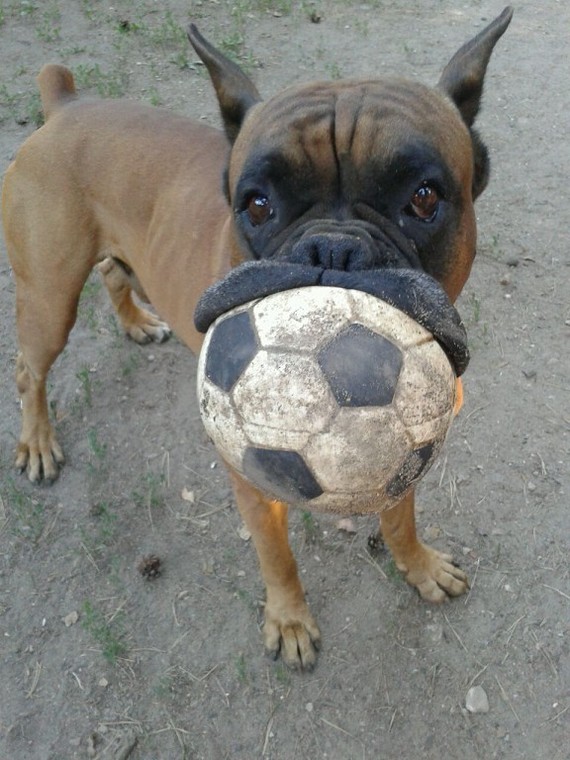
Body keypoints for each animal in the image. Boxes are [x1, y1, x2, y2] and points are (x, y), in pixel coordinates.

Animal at [2, 8, 510, 668]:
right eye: (259, 205)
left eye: (424, 198)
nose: (333, 249)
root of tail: (66, 105)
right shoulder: (251, 480)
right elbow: (277, 555)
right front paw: (290, 621)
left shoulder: (404, 453)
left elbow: (400, 519)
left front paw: (418, 567)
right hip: (49, 298)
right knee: (30, 369)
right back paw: (38, 441)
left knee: (115, 271)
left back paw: (136, 320)